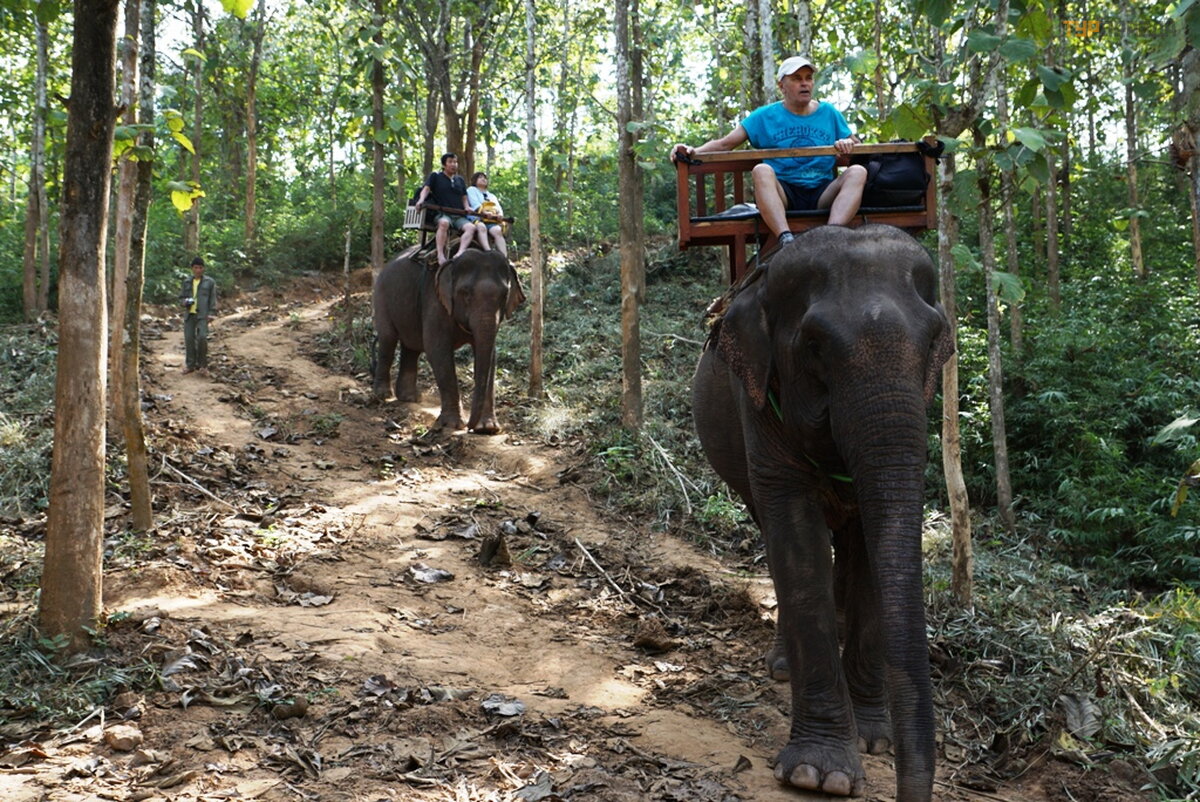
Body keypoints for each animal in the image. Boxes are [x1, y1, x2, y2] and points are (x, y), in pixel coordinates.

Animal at [373, 246, 525, 434]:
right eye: (466, 293)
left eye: (504, 295)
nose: (470, 427)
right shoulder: (435, 300)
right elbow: (437, 349)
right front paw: (453, 425)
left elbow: (490, 357)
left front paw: (488, 428)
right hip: (381, 296)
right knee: (388, 339)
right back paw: (383, 395)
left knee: (412, 348)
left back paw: (409, 397)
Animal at [692, 225, 953, 801]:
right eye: (814, 345)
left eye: (933, 342)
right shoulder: (759, 402)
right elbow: (796, 541)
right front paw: (820, 775)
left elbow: (872, 551)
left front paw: (875, 740)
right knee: (774, 538)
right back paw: (782, 665)